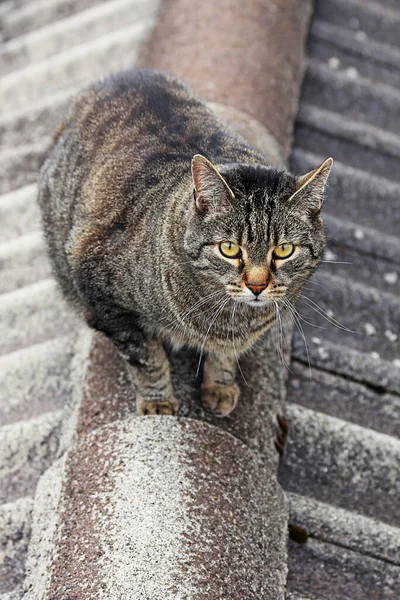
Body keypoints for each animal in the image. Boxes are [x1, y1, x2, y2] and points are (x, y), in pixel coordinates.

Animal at [38, 68, 332, 418]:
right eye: (229, 248)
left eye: (284, 250)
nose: (257, 286)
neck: (229, 318)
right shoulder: (105, 297)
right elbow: (147, 359)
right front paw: (158, 403)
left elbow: (225, 354)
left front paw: (219, 386)